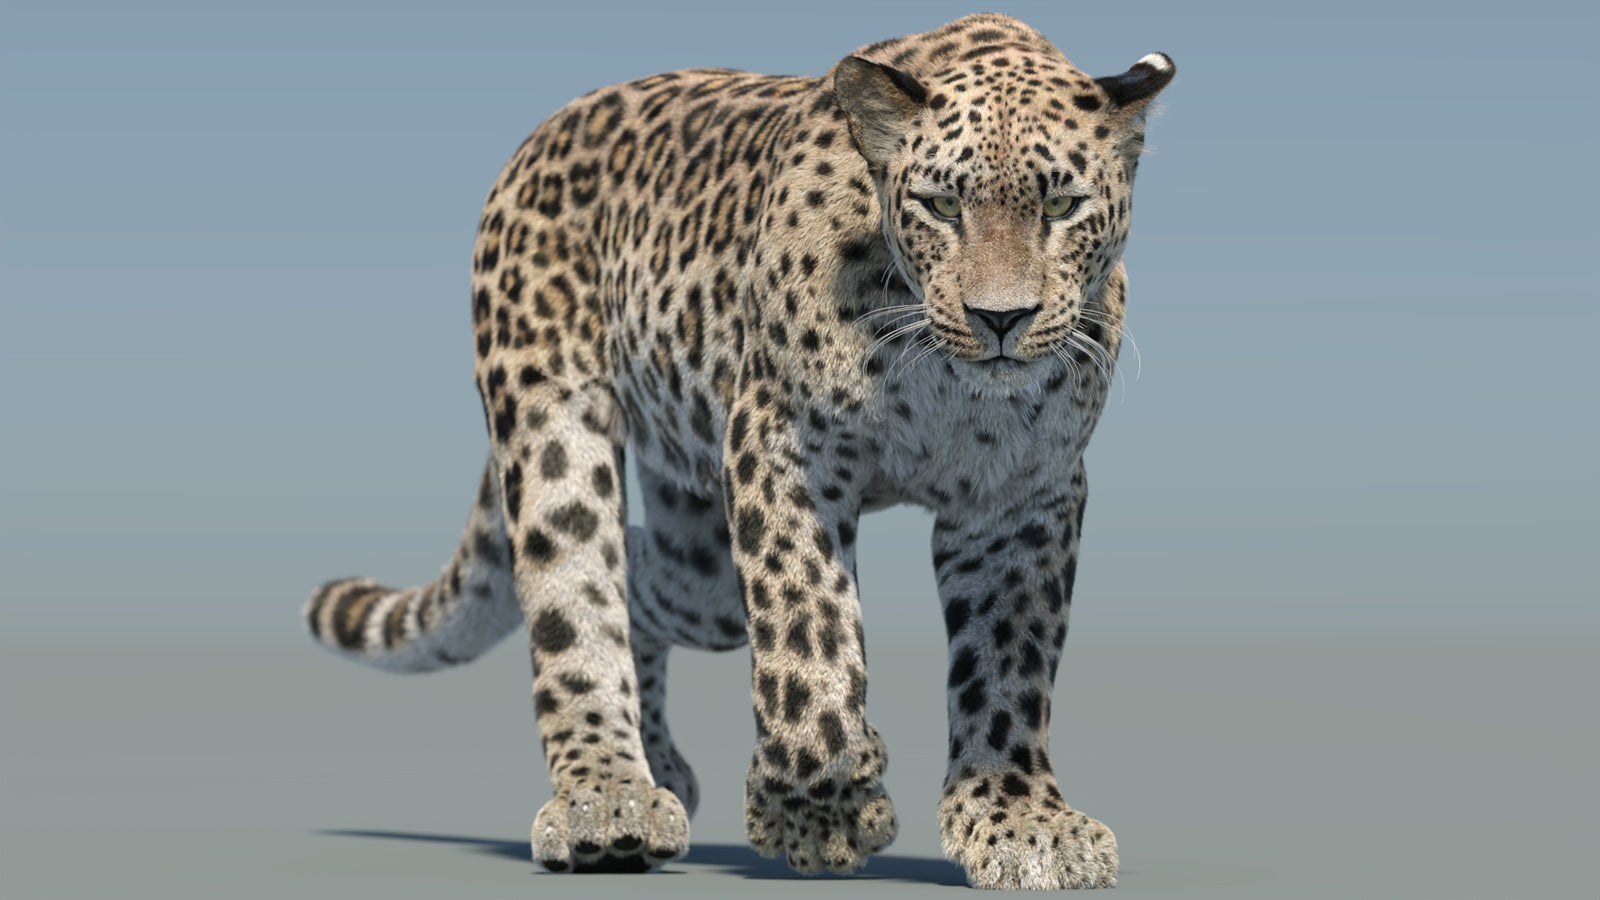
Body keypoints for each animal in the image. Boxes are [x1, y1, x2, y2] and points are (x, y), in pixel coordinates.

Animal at [302, 13, 1173, 890]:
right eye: (940, 206)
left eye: (1061, 205)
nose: (1001, 319)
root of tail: (541, 135)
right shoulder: (782, 441)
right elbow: (807, 628)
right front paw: (823, 815)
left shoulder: (1021, 494)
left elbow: (1008, 662)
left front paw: (1017, 818)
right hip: (552, 419)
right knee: (575, 598)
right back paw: (607, 798)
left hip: (701, 554)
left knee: (639, 578)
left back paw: (657, 762)